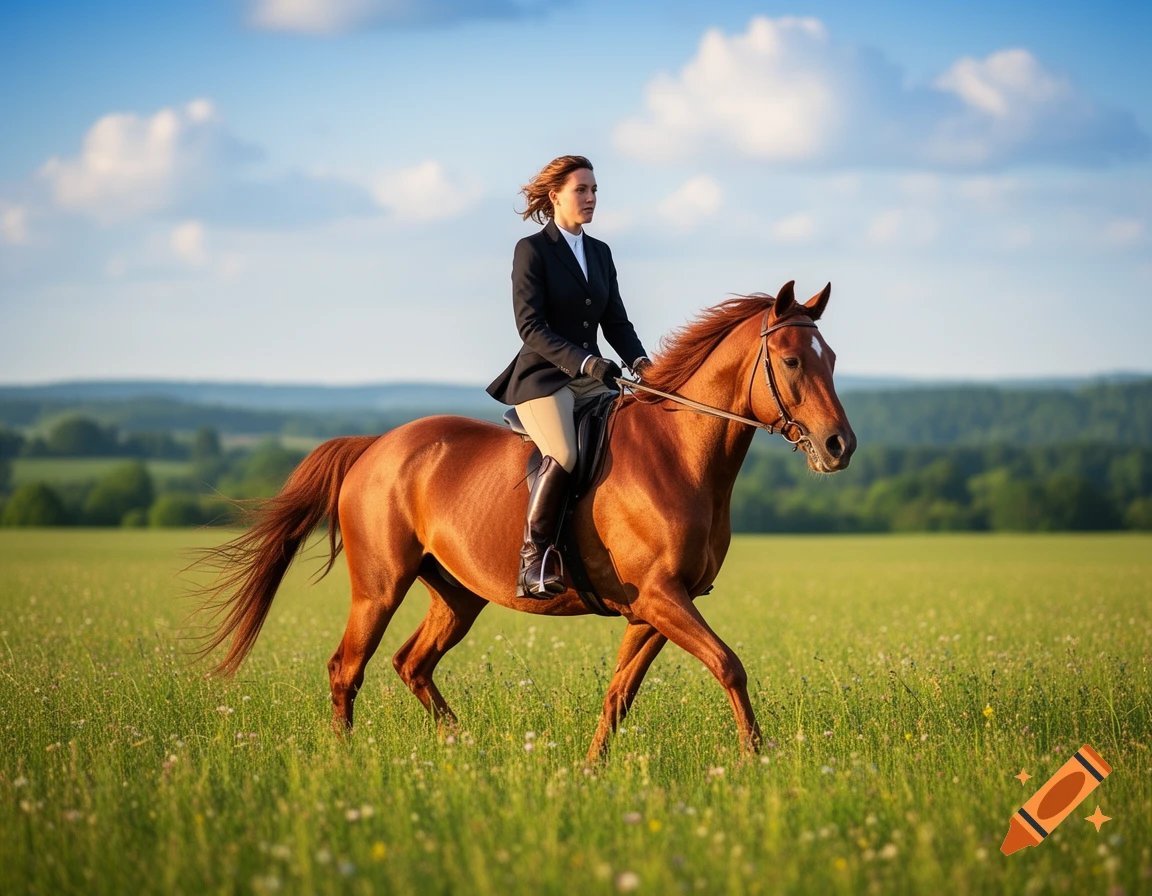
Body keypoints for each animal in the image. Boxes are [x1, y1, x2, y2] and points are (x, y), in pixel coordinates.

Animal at [193, 280, 856, 763]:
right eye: (792, 361)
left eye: (831, 359)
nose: (839, 446)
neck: (678, 453)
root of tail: (374, 446)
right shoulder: (661, 596)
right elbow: (729, 665)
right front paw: (756, 760)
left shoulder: (655, 607)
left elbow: (620, 693)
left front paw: (591, 771)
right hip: (380, 586)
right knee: (345, 668)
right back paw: (345, 762)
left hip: (457, 594)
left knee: (412, 663)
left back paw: (469, 752)